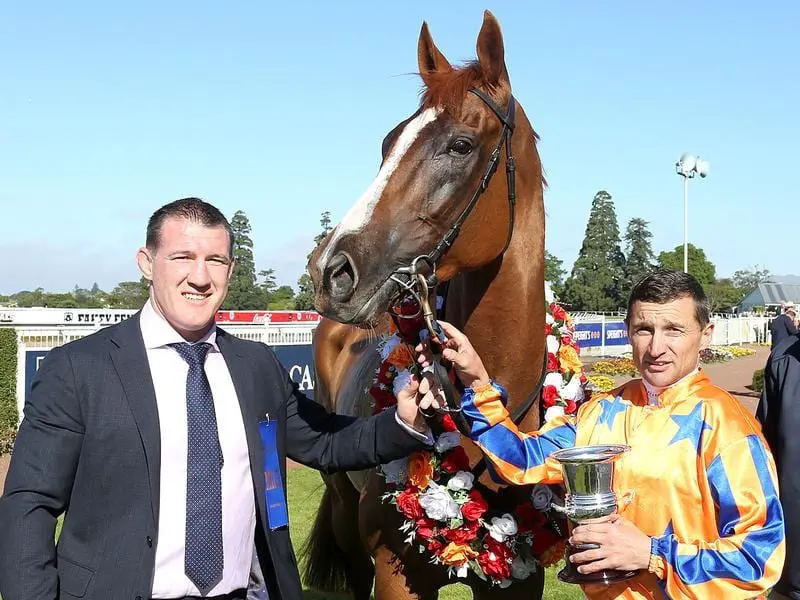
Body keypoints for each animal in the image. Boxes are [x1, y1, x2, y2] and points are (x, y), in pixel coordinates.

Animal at [304, 10, 548, 600]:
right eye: (388, 141)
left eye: (460, 145)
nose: (331, 269)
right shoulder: (395, 571)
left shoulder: (523, 576)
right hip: (344, 512)